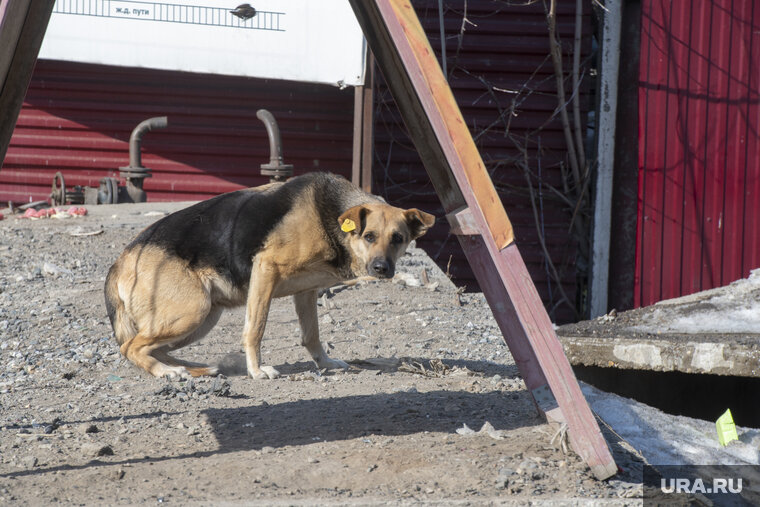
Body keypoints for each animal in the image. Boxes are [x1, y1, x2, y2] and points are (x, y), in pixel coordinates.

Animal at [103, 173, 434, 380]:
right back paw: (167, 371)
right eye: (369, 236)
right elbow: (255, 330)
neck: (328, 215)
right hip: (192, 311)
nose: (382, 269)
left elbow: (312, 335)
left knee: (151, 347)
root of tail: (121, 260)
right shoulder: (265, 270)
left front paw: (325, 362)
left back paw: (194, 368)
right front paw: (258, 371)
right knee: (130, 347)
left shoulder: (306, 292)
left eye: (398, 238)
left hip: (203, 317)